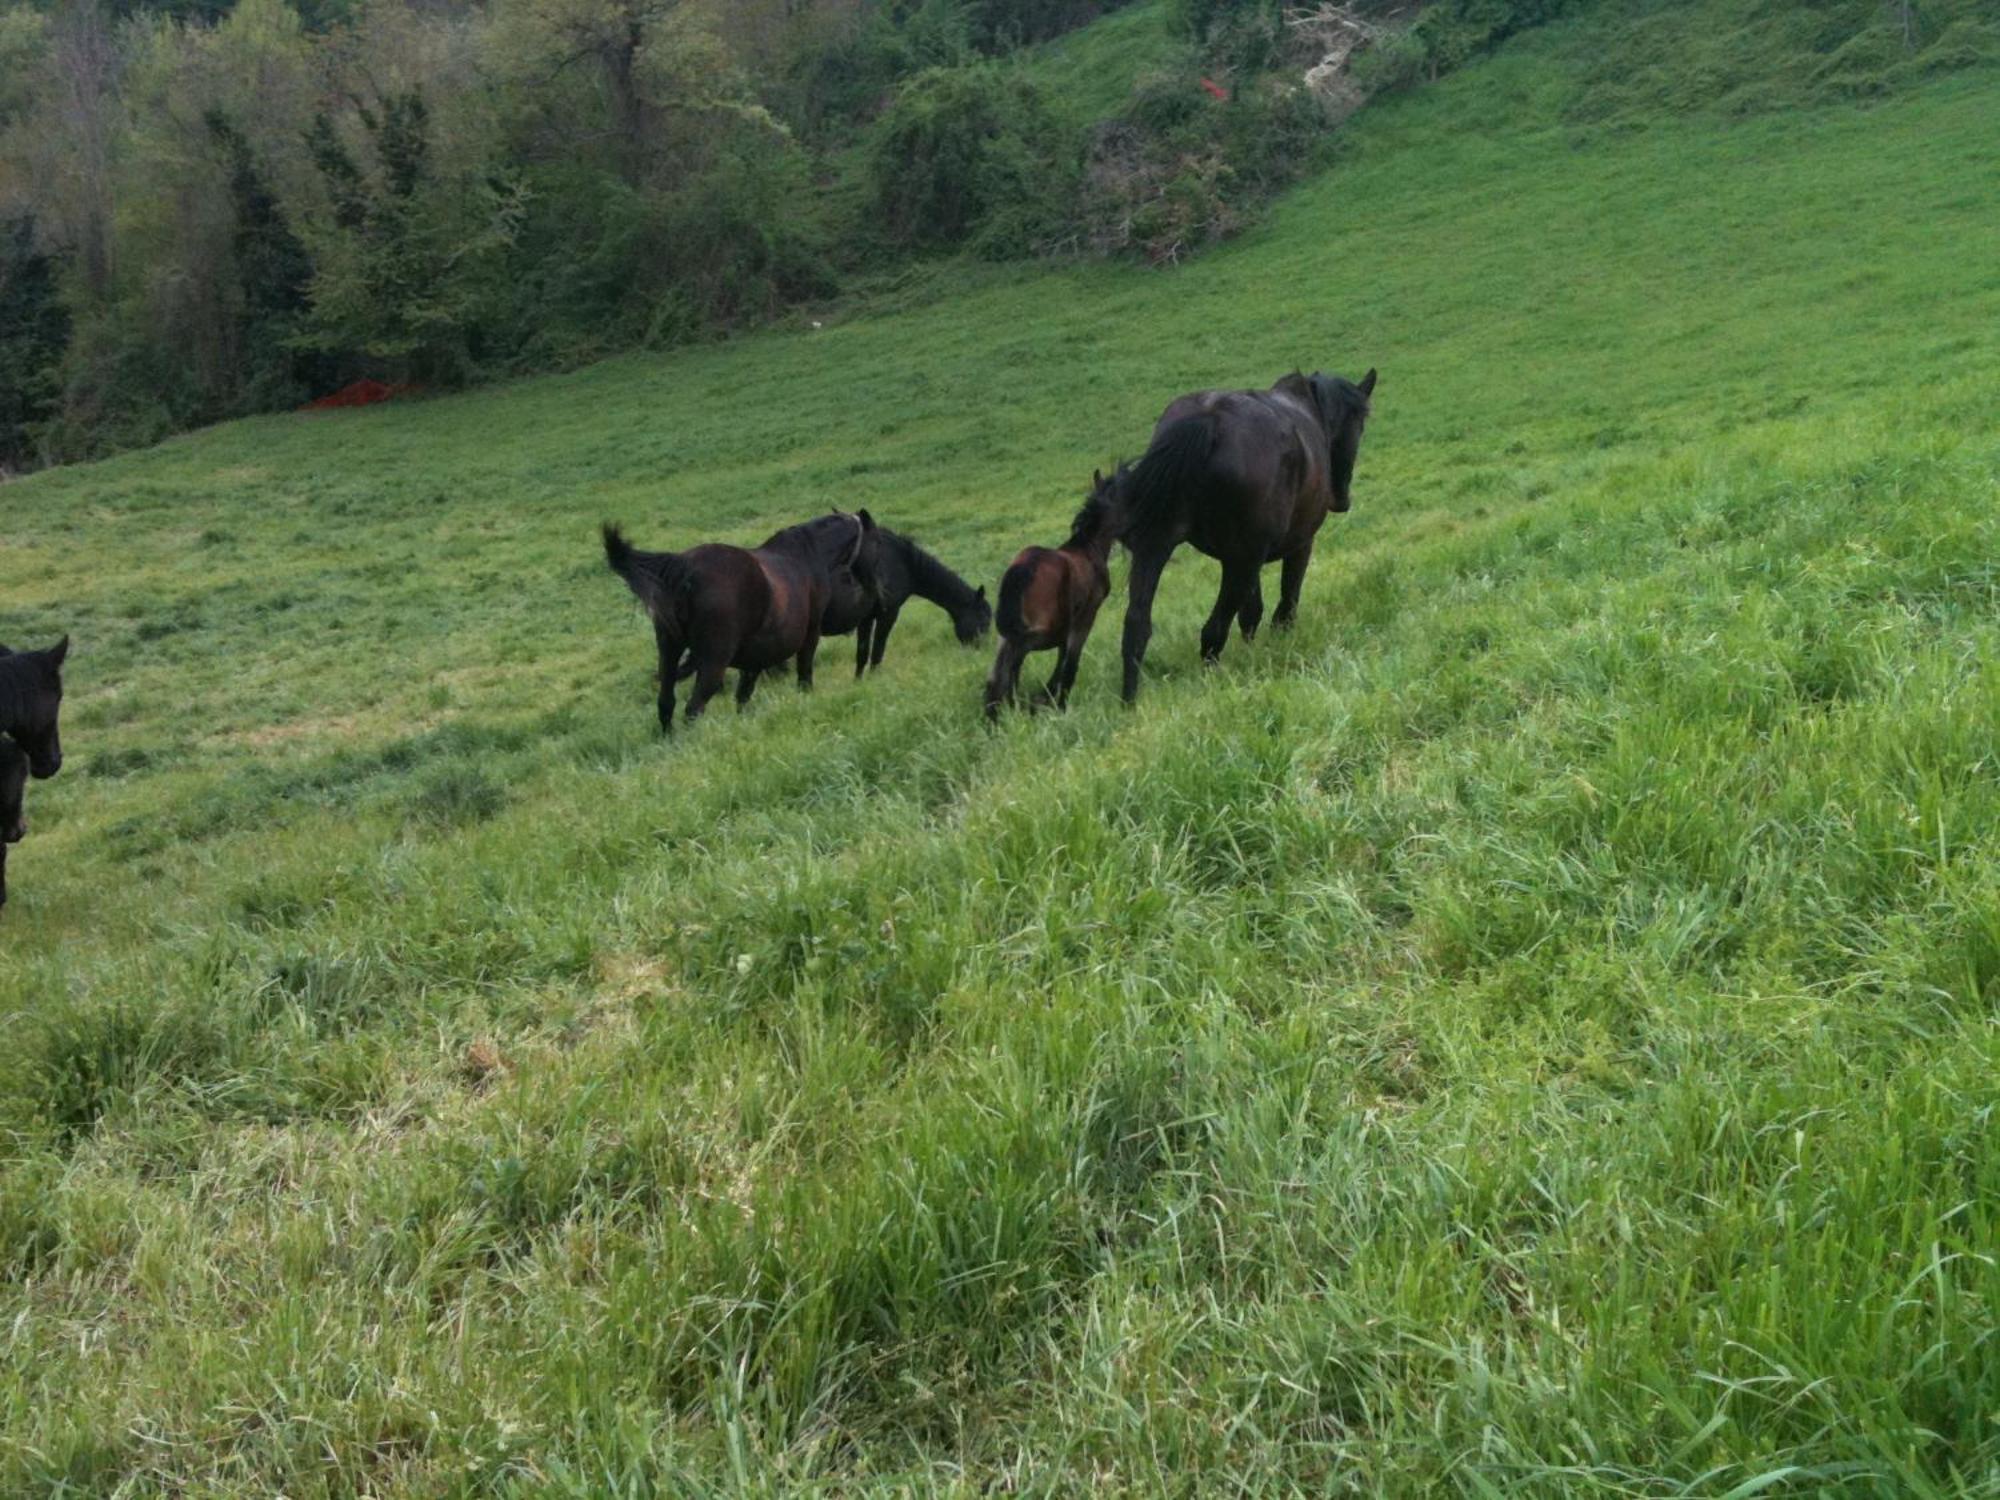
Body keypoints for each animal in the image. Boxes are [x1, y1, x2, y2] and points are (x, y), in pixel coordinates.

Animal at [596, 512, 872, 736]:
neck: (806, 555)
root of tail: (683, 567)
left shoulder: (754, 659)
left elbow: (743, 695)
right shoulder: (810, 635)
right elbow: (804, 673)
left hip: (669, 652)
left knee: (666, 703)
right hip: (713, 661)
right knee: (693, 708)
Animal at [820, 524, 992, 676]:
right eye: (983, 620)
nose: (981, 650)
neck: (902, 561)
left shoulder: (866, 619)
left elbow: (862, 653)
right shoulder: (888, 614)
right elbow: (877, 650)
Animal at [988, 470, 1136, 728]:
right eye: (1126, 501)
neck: (1088, 548)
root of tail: (1023, 568)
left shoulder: (1067, 625)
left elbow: (1063, 657)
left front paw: (1050, 699)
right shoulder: (1085, 618)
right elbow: (1070, 662)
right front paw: (1058, 703)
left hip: (1006, 633)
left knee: (996, 674)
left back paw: (997, 715)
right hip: (1036, 633)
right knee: (1014, 661)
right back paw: (1016, 704)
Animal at [1112, 374, 1376, 708]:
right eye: (1359, 426)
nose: (1341, 499)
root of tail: (1210, 418)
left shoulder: (1247, 556)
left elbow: (1251, 613)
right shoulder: (1298, 545)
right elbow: (1285, 604)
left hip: (1160, 545)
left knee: (1136, 627)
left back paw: (1129, 704)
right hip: (1241, 562)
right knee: (1213, 630)